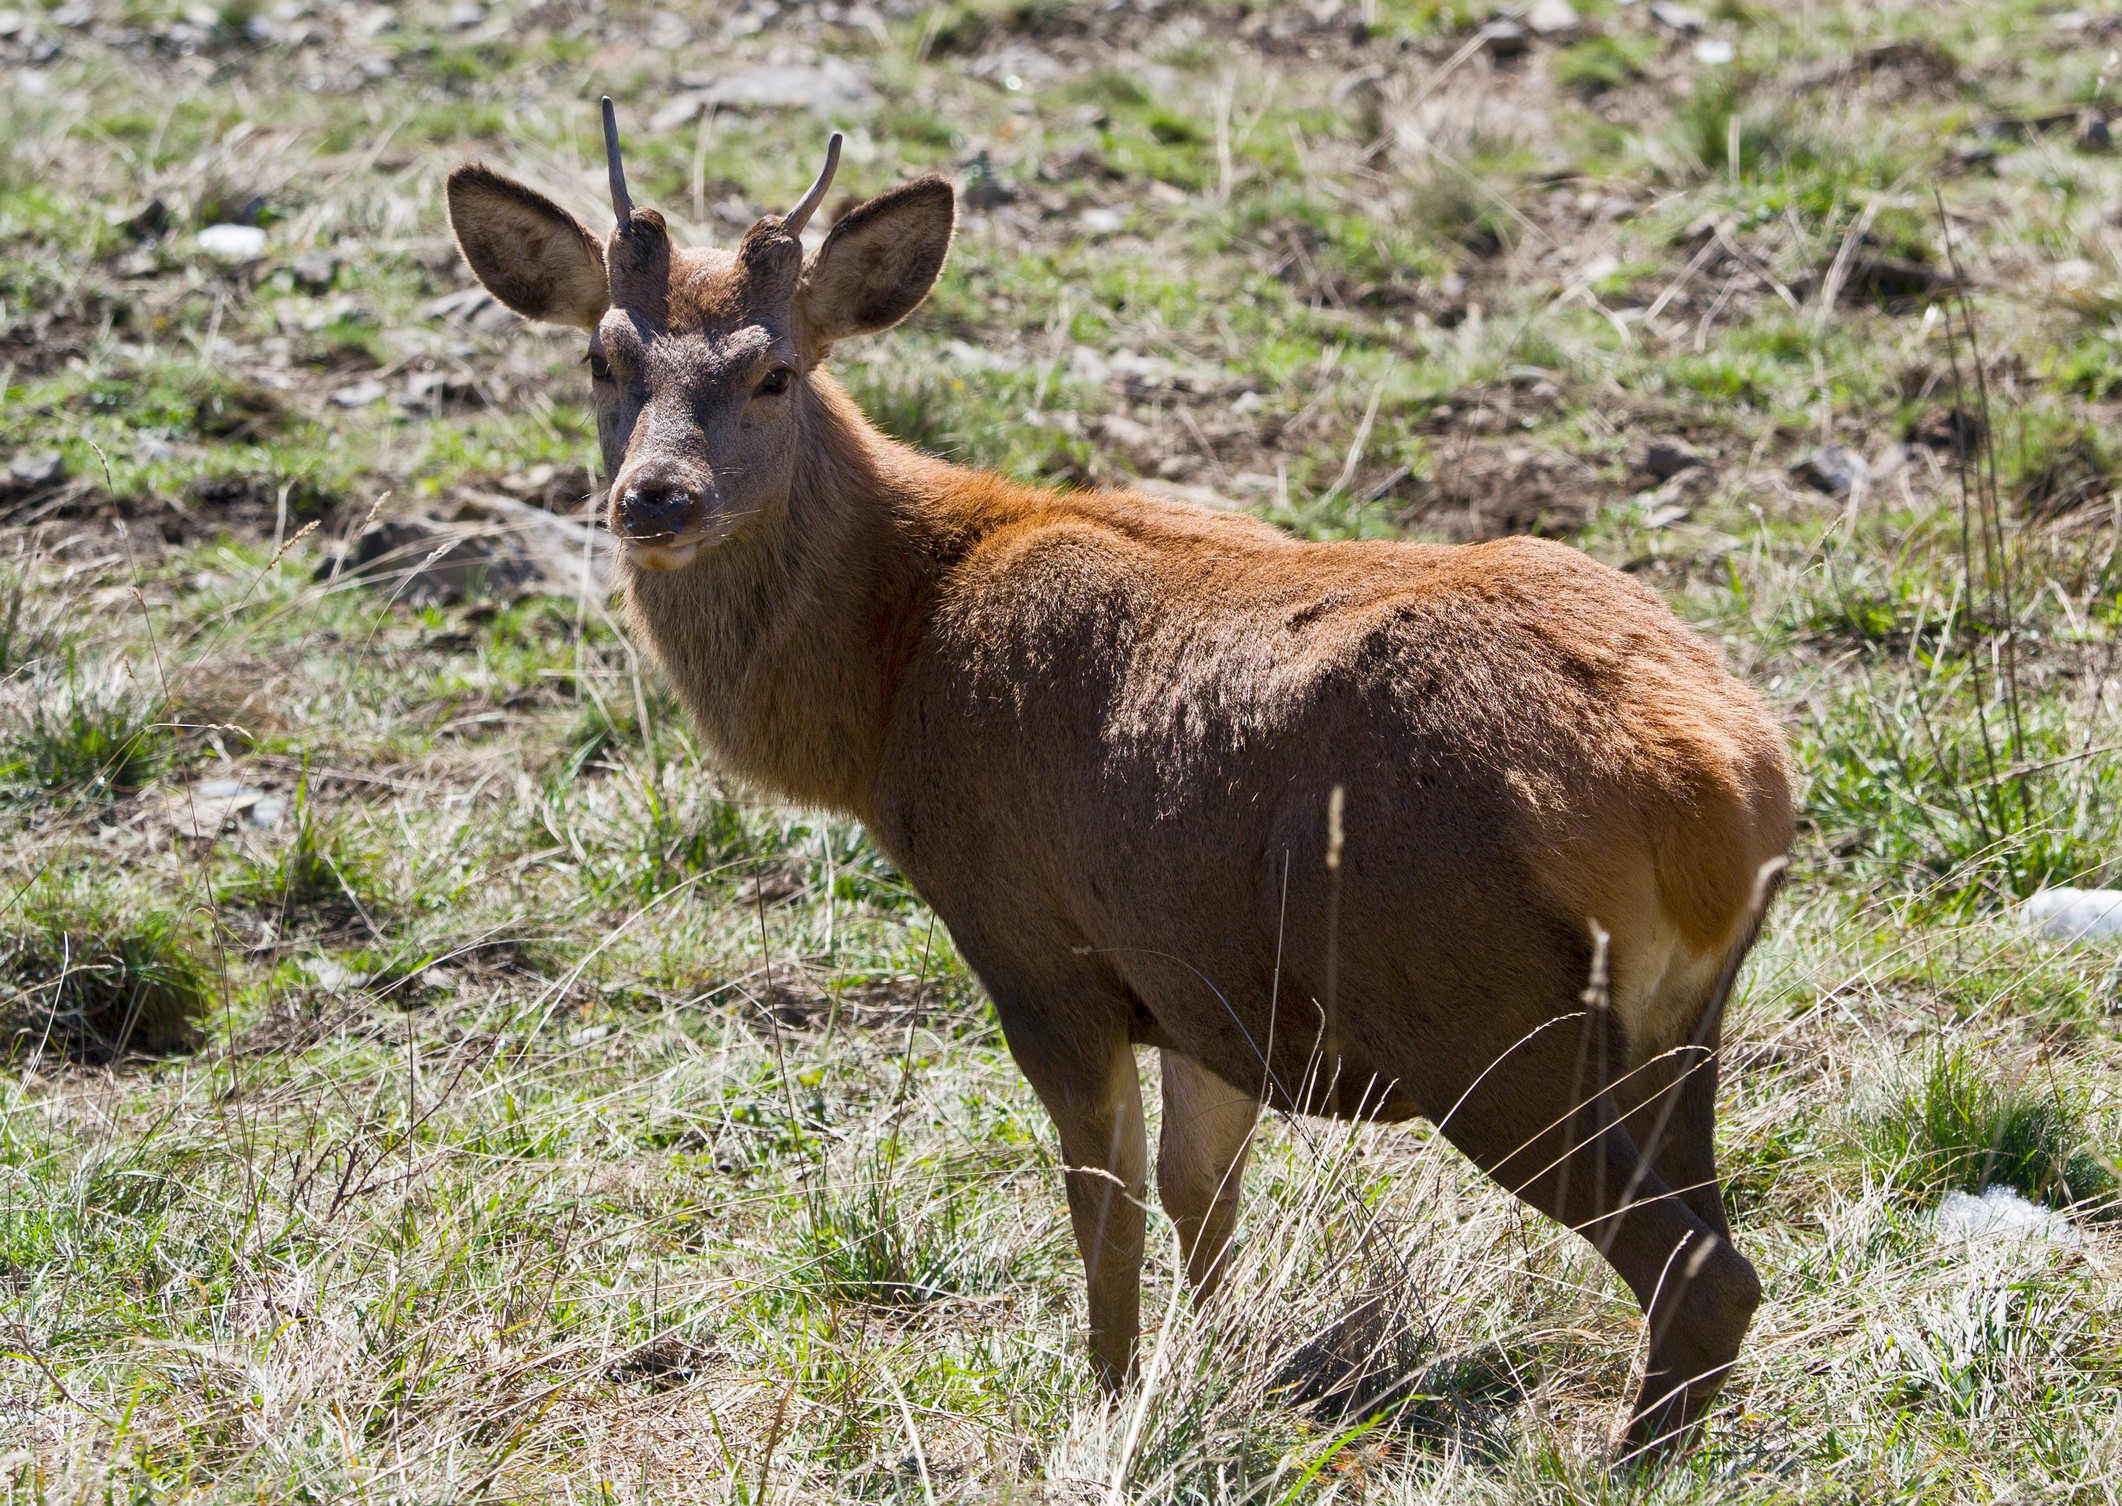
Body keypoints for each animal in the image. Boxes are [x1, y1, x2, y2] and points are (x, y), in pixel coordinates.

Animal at [444, 102, 1795, 1455]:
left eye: (775, 370)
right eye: (603, 358)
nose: (653, 499)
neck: (891, 687)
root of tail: (1715, 785)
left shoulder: (1041, 950)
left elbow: (1107, 1204)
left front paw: (1104, 1397)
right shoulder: (1202, 988)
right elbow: (1204, 1197)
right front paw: (1220, 1372)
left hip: (1477, 1005)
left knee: (1703, 1271)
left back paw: (1625, 1459)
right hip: (1678, 1029)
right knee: (1712, 1239)